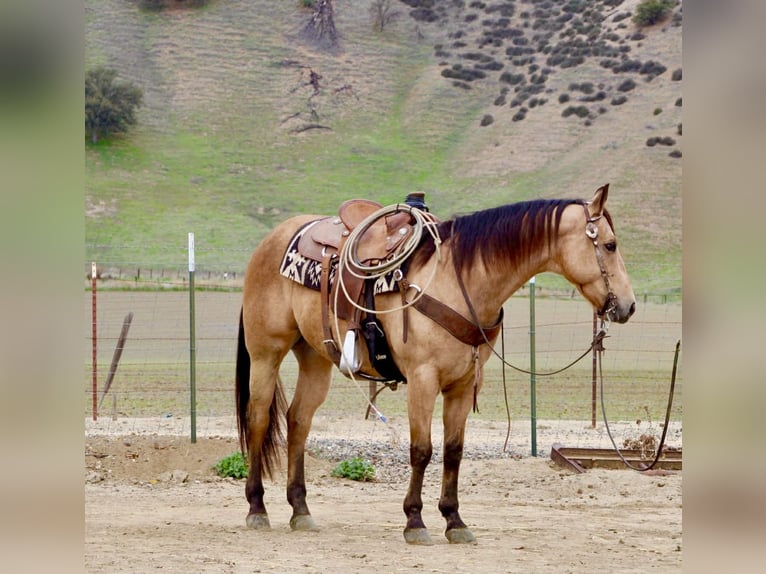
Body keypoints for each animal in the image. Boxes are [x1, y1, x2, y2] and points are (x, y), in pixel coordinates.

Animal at [235, 184, 635, 545]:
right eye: (611, 245)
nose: (628, 306)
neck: (460, 282)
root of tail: (271, 240)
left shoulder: (463, 384)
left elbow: (454, 451)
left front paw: (454, 520)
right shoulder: (423, 379)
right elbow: (422, 450)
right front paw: (415, 521)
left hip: (315, 357)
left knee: (299, 420)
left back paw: (300, 510)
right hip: (266, 353)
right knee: (259, 419)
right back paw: (257, 508)